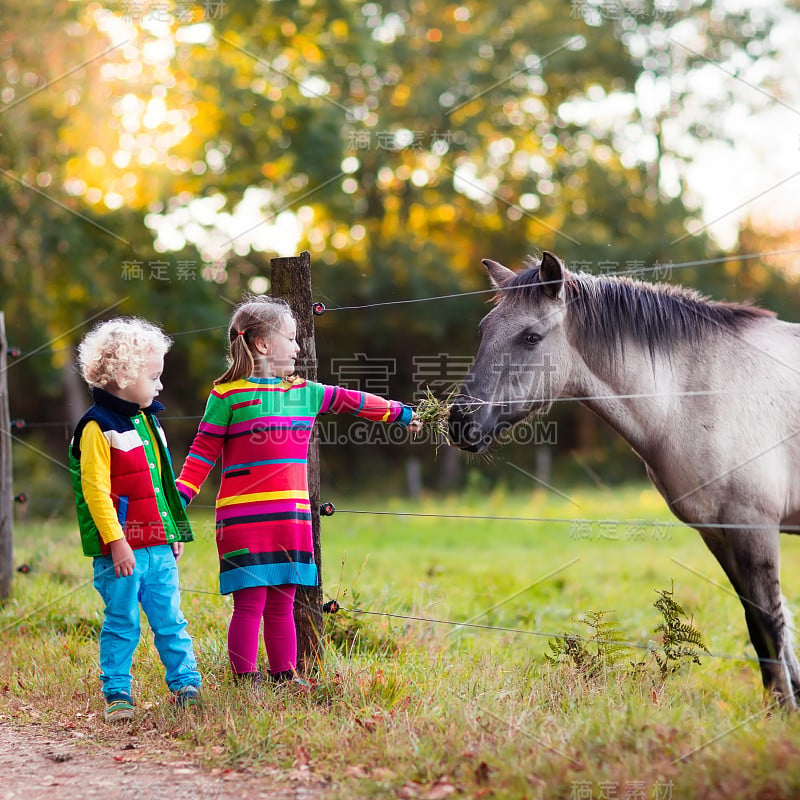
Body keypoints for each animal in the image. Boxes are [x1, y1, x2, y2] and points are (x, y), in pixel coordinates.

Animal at [450, 250, 800, 708]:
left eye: (530, 337)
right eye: (483, 330)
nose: (460, 422)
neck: (700, 393)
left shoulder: (752, 527)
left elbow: (771, 625)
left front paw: (784, 713)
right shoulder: (719, 532)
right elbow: (761, 626)